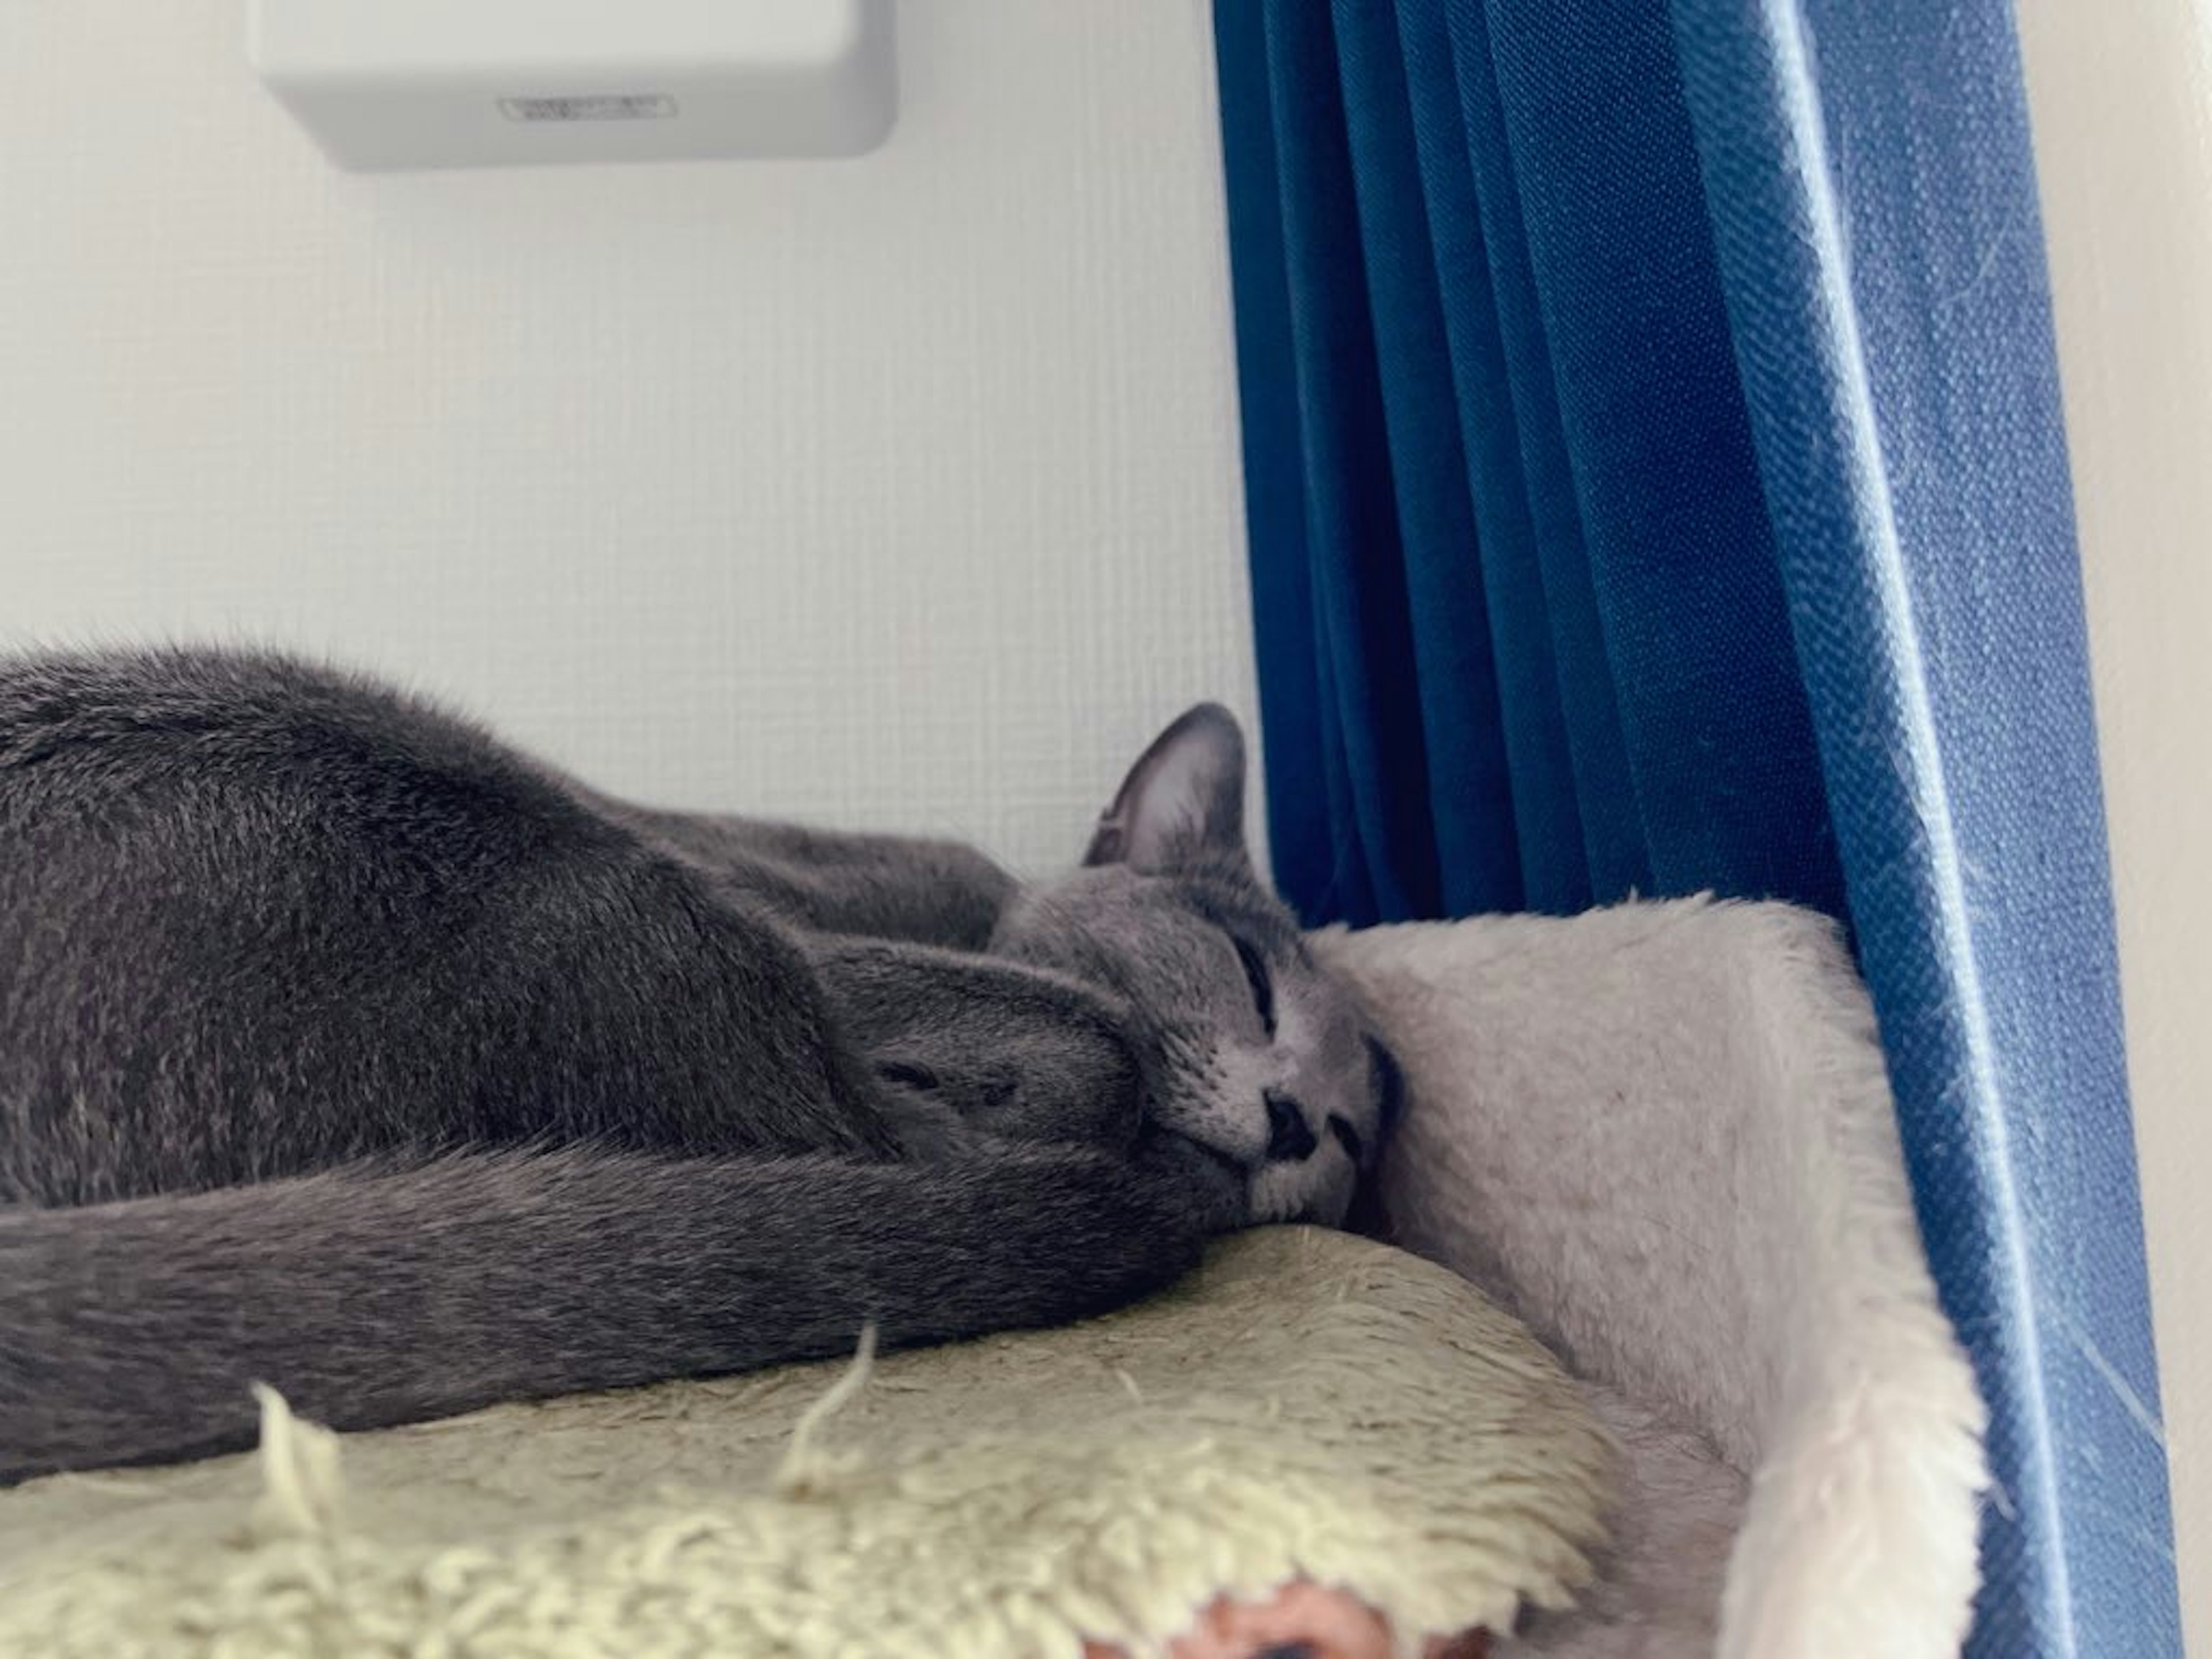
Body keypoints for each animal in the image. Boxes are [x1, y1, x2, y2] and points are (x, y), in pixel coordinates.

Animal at [0, 650, 1397, 1478]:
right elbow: (1090, 1036)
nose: (1294, 1118)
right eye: (1247, 972)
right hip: (543, 852)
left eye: (1350, 1137)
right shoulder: (823, 923)